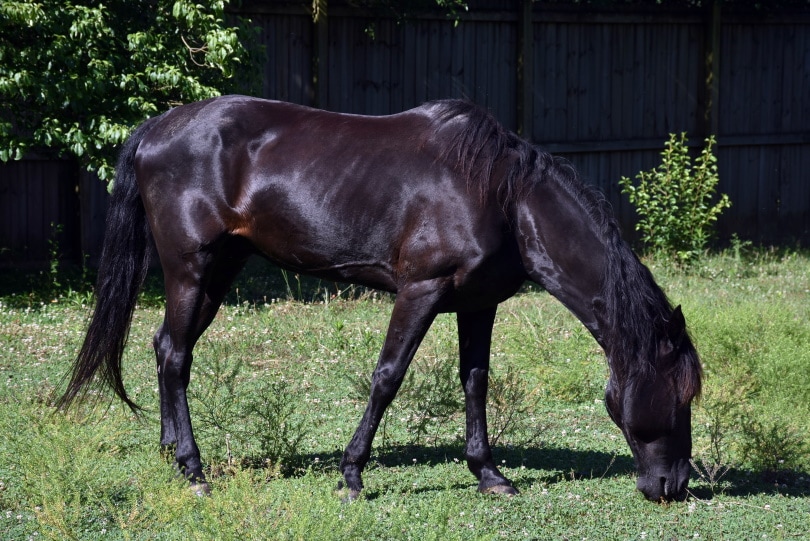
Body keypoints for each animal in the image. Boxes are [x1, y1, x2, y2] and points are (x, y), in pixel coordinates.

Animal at [58, 96, 700, 502]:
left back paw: (172, 453)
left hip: (219, 270)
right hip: (191, 270)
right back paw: (194, 470)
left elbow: (475, 381)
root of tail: (158, 129)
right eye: (680, 394)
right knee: (176, 356)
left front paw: (489, 474)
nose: (674, 486)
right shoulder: (420, 290)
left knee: (167, 345)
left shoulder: (478, 305)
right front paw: (351, 476)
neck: (502, 195)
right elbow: (387, 377)